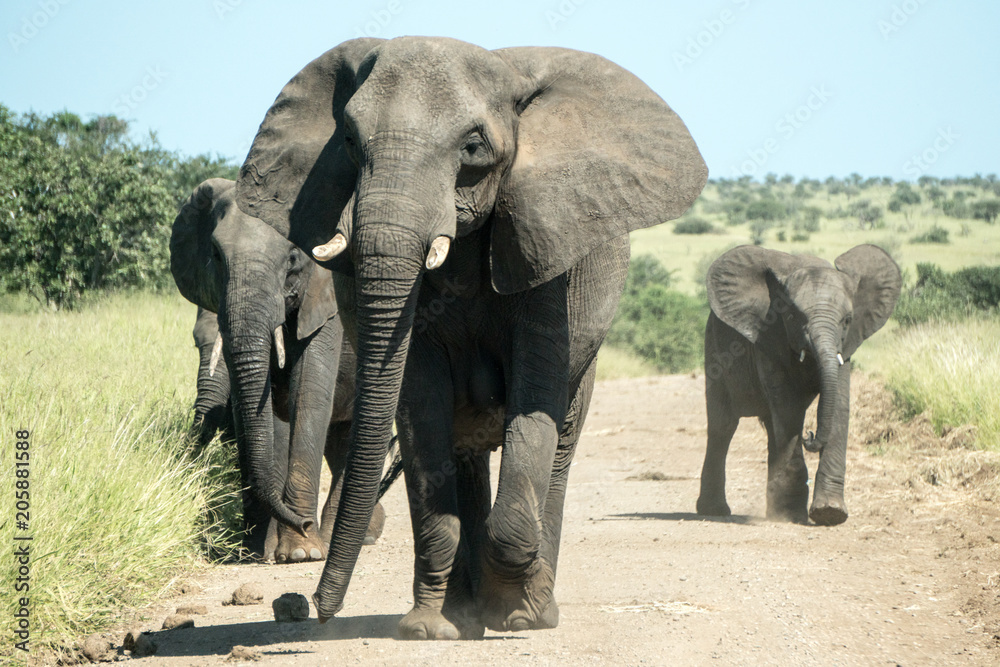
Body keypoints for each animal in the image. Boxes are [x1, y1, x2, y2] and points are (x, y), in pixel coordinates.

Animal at [171, 178, 386, 563]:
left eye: (293, 258)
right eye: (216, 255)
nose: (303, 523)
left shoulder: (325, 299)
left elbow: (307, 395)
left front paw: (302, 553)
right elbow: (265, 410)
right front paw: (258, 551)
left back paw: (346, 539)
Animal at [235, 36, 706, 638]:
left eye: (474, 146)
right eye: (348, 140)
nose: (316, 606)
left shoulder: (545, 248)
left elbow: (535, 398)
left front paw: (519, 616)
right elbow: (420, 407)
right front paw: (429, 629)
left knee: (560, 441)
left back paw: (529, 609)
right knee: (461, 449)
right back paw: (466, 611)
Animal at [696, 244, 901, 526]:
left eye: (847, 320)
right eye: (792, 316)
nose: (810, 435)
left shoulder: (846, 346)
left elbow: (839, 407)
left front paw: (830, 513)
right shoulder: (768, 337)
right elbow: (788, 408)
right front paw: (792, 515)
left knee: (771, 429)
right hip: (713, 346)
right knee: (723, 426)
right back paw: (716, 510)